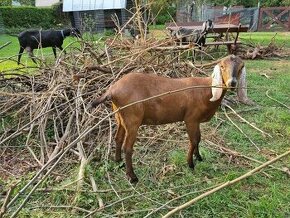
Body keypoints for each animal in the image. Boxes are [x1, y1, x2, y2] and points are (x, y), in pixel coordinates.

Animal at [90, 54, 247, 182]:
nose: (232, 83)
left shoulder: (196, 121)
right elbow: (193, 140)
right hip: (133, 119)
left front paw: (199, 157)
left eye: (241, 67)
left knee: (118, 138)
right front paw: (190, 164)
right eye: (222, 66)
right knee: (127, 147)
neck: (207, 89)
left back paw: (118, 161)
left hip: (119, 117)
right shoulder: (191, 118)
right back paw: (132, 177)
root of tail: (112, 90)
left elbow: (199, 139)